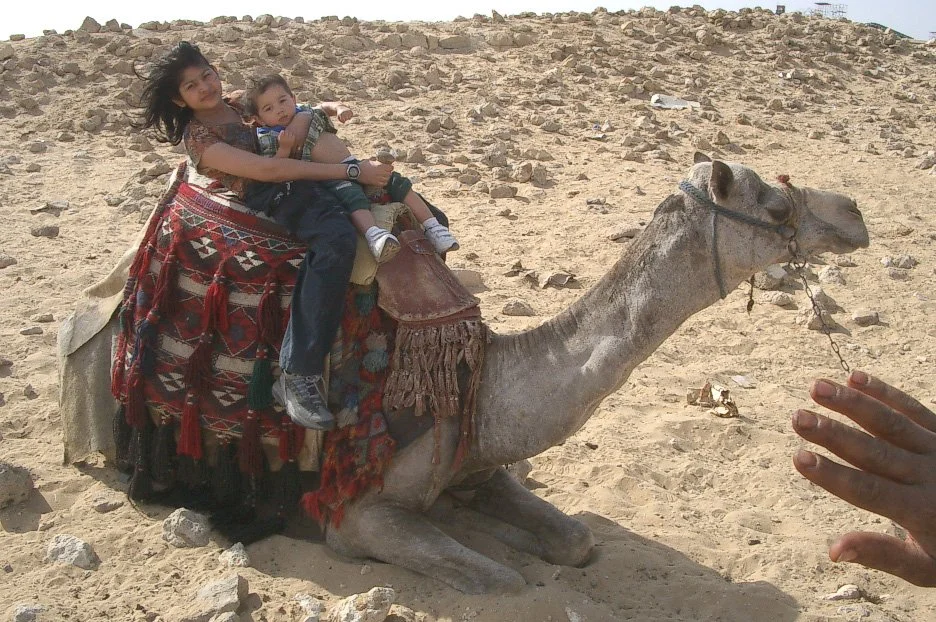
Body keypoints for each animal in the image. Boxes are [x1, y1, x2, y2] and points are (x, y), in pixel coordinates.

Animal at [60, 155, 868, 594]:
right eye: (773, 202)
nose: (855, 212)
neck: (483, 380)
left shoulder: (478, 461)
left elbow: (575, 541)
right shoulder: (356, 514)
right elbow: (500, 577)